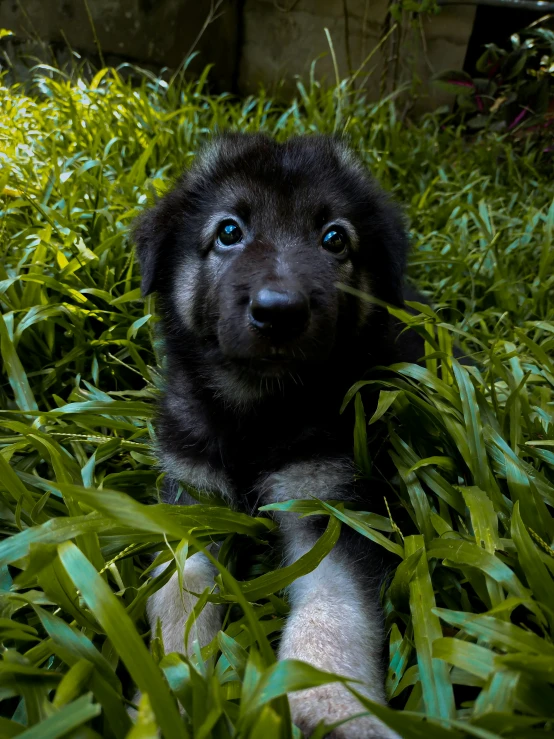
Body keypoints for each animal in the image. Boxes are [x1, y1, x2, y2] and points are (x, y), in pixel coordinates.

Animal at [134, 134, 414, 739]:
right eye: (228, 231)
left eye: (334, 238)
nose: (280, 312)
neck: (258, 410)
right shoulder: (192, 498)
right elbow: (178, 596)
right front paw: (173, 693)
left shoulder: (327, 504)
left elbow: (334, 609)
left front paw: (332, 707)